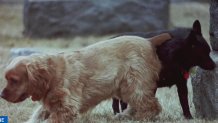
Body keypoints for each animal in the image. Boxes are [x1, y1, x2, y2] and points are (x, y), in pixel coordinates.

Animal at [0, 34, 170, 122]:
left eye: (14, 80)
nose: (1, 95)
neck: (53, 74)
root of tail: (149, 41)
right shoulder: (51, 104)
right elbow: (37, 116)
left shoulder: (66, 108)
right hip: (125, 87)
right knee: (138, 104)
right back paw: (124, 116)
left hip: (134, 83)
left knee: (151, 105)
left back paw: (141, 118)